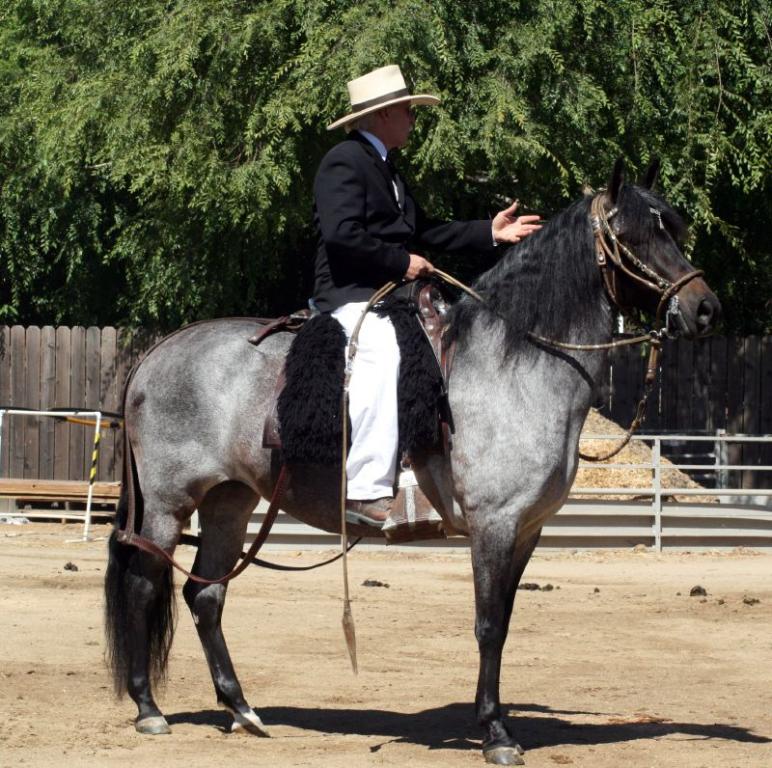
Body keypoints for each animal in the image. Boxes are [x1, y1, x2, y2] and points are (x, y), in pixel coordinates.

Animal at [105, 159, 720, 765]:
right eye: (635, 235)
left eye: (672, 229)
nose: (705, 308)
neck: (512, 363)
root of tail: (158, 352)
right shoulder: (493, 526)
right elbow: (488, 625)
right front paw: (495, 733)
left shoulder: (527, 531)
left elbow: (504, 622)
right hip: (169, 505)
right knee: (143, 586)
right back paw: (149, 709)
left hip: (230, 501)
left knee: (205, 594)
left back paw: (241, 710)